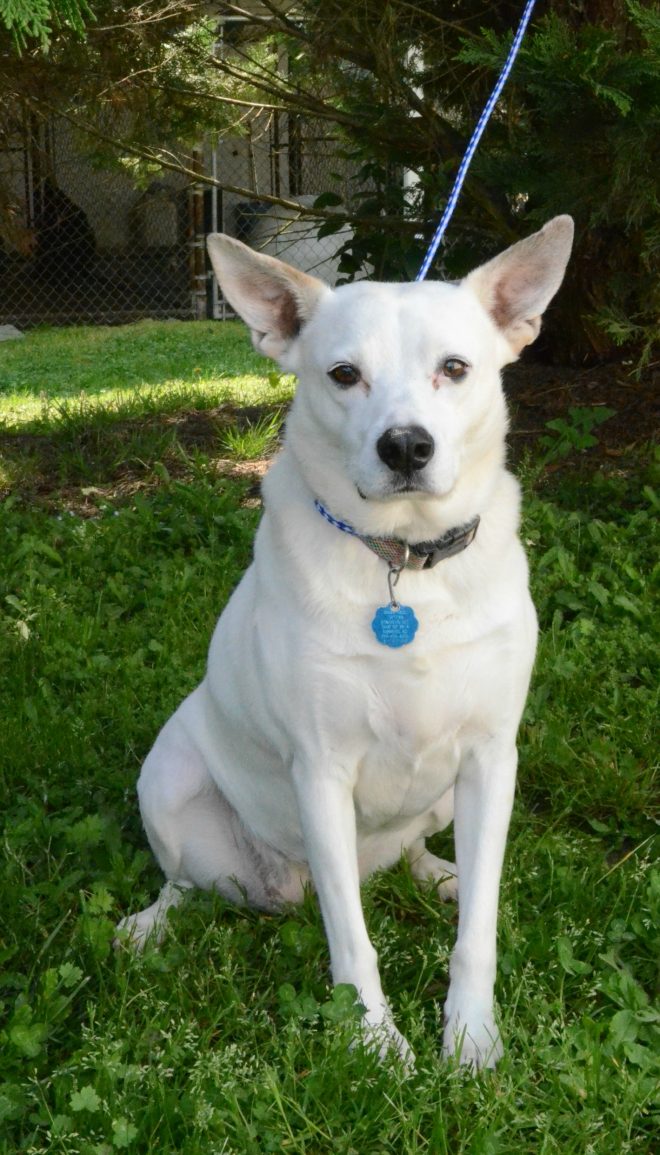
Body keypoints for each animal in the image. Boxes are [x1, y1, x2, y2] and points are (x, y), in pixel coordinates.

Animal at [117, 214, 573, 1062]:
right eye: (342, 373)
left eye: (455, 368)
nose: (406, 446)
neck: (404, 562)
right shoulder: (321, 771)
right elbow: (351, 939)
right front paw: (374, 1042)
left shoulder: (493, 757)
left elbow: (480, 928)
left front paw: (470, 1035)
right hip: (168, 781)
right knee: (185, 881)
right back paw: (147, 925)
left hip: (441, 801)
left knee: (415, 852)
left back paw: (438, 873)